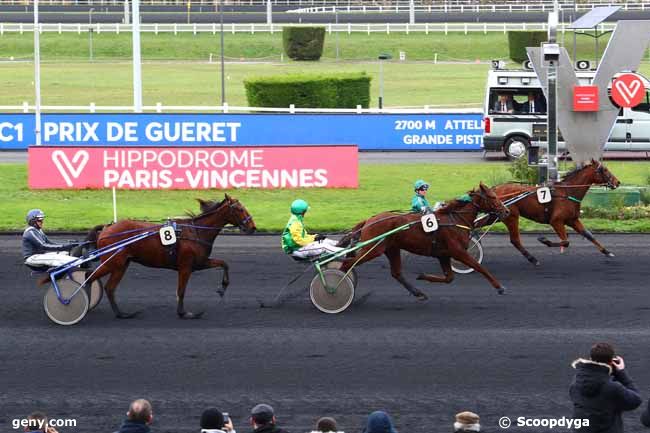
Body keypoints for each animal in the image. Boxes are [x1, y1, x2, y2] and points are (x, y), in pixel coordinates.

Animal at [85, 194, 256, 318]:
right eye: (239, 209)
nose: (252, 227)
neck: (197, 231)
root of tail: (107, 228)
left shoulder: (200, 263)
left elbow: (224, 263)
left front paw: (222, 287)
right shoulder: (186, 266)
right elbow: (181, 290)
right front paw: (184, 313)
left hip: (121, 264)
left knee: (103, 284)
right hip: (114, 263)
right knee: (97, 281)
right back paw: (118, 313)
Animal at [336, 182, 508, 300]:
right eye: (493, 197)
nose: (506, 211)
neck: (455, 219)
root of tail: (369, 220)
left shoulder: (443, 254)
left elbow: (449, 278)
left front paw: (422, 276)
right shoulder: (458, 252)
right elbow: (480, 268)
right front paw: (499, 287)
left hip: (391, 248)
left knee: (396, 273)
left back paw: (418, 293)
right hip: (373, 249)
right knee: (347, 264)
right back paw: (336, 287)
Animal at [484, 159, 620, 264]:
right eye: (605, 170)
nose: (617, 182)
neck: (568, 192)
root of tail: (495, 189)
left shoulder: (572, 220)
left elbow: (588, 235)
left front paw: (607, 252)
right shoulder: (556, 221)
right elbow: (565, 241)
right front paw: (544, 240)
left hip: (498, 215)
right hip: (511, 216)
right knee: (515, 240)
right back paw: (533, 259)